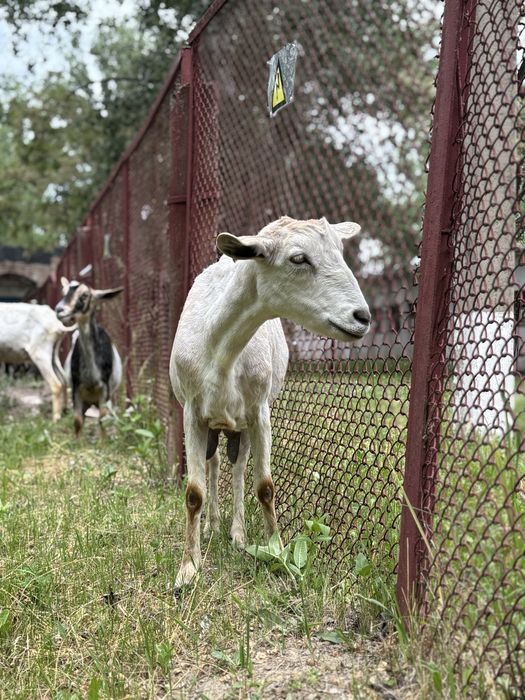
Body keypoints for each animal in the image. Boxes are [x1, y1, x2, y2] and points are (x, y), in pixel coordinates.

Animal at [55, 278, 123, 435]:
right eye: (63, 291)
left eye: (84, 295)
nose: (59, 310)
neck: (91, 378)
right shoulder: (76, 390)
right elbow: (78, 422)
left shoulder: (104, 391)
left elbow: (103, 421)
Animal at [170, 216, 371, 588]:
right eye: (298, 258)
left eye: (340, 249)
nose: (361, 317)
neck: (221, 350)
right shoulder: (192, 412)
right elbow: (193, 493)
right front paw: (188, 569)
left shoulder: (258, 411)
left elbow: (264, 487)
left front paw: (277, 552)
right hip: (215, 422)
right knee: (214, 463)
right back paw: (212, 525)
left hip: (241, 424)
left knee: (236, 467)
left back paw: (236, 534)